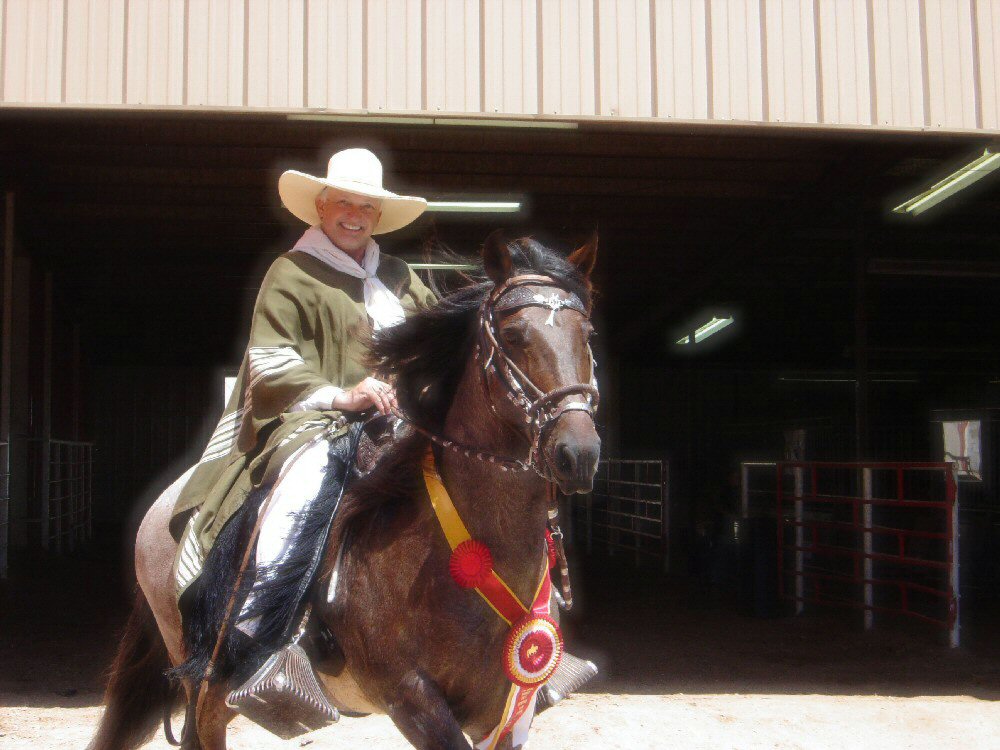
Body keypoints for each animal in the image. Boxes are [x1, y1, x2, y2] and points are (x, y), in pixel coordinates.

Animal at [90, 235, 596, 750]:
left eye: (587, 333)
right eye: (513, 337)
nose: (577, 453)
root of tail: (163, 506)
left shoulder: (510, 705)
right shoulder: (411, 697)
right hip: (206, 677)